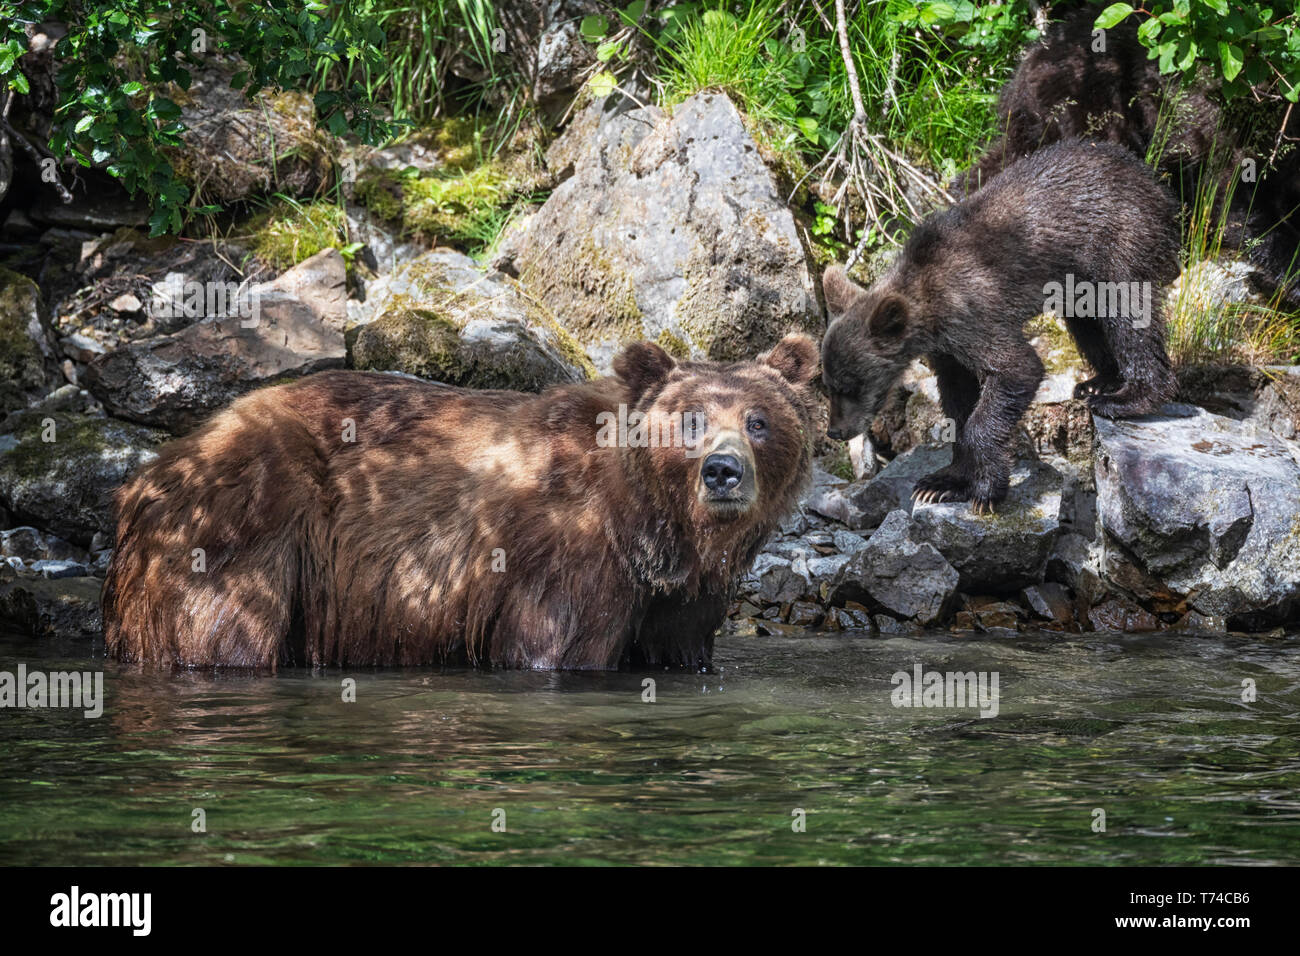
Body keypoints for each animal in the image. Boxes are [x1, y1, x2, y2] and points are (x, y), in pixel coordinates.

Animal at [102, 335, 821, 671]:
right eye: (691, 420)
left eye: (759, 420)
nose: (723, 472)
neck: (657, 526)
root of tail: (148, 473)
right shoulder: (569, 557)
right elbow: (557, 649)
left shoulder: (679, 596)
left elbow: (678, 649)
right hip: (245, 524)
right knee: (224, 630)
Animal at [821, 139, 1180, 513]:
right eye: (827, 384)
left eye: (851, 385)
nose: (835, 430)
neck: (929, 306)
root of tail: (1150, 177)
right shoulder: (947, 352)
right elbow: (958, 400)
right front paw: (943, 483)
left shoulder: (973, 316)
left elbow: (1016, 370)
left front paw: (986, 491)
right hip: (1078, 282)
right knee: (1087, 324)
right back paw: (1099, 383)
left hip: (1119, 238)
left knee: (1128, 314)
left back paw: (1127, 398)